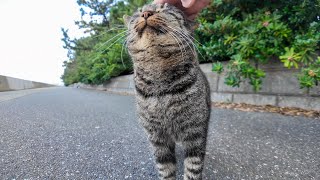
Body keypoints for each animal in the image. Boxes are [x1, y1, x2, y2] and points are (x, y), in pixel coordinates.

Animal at [124, 3, 211, 180]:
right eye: (138, 12)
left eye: (164, 8)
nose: (146, 13)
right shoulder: (157, 137)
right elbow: (165, 168)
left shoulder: (195, 131)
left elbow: (193, 168)